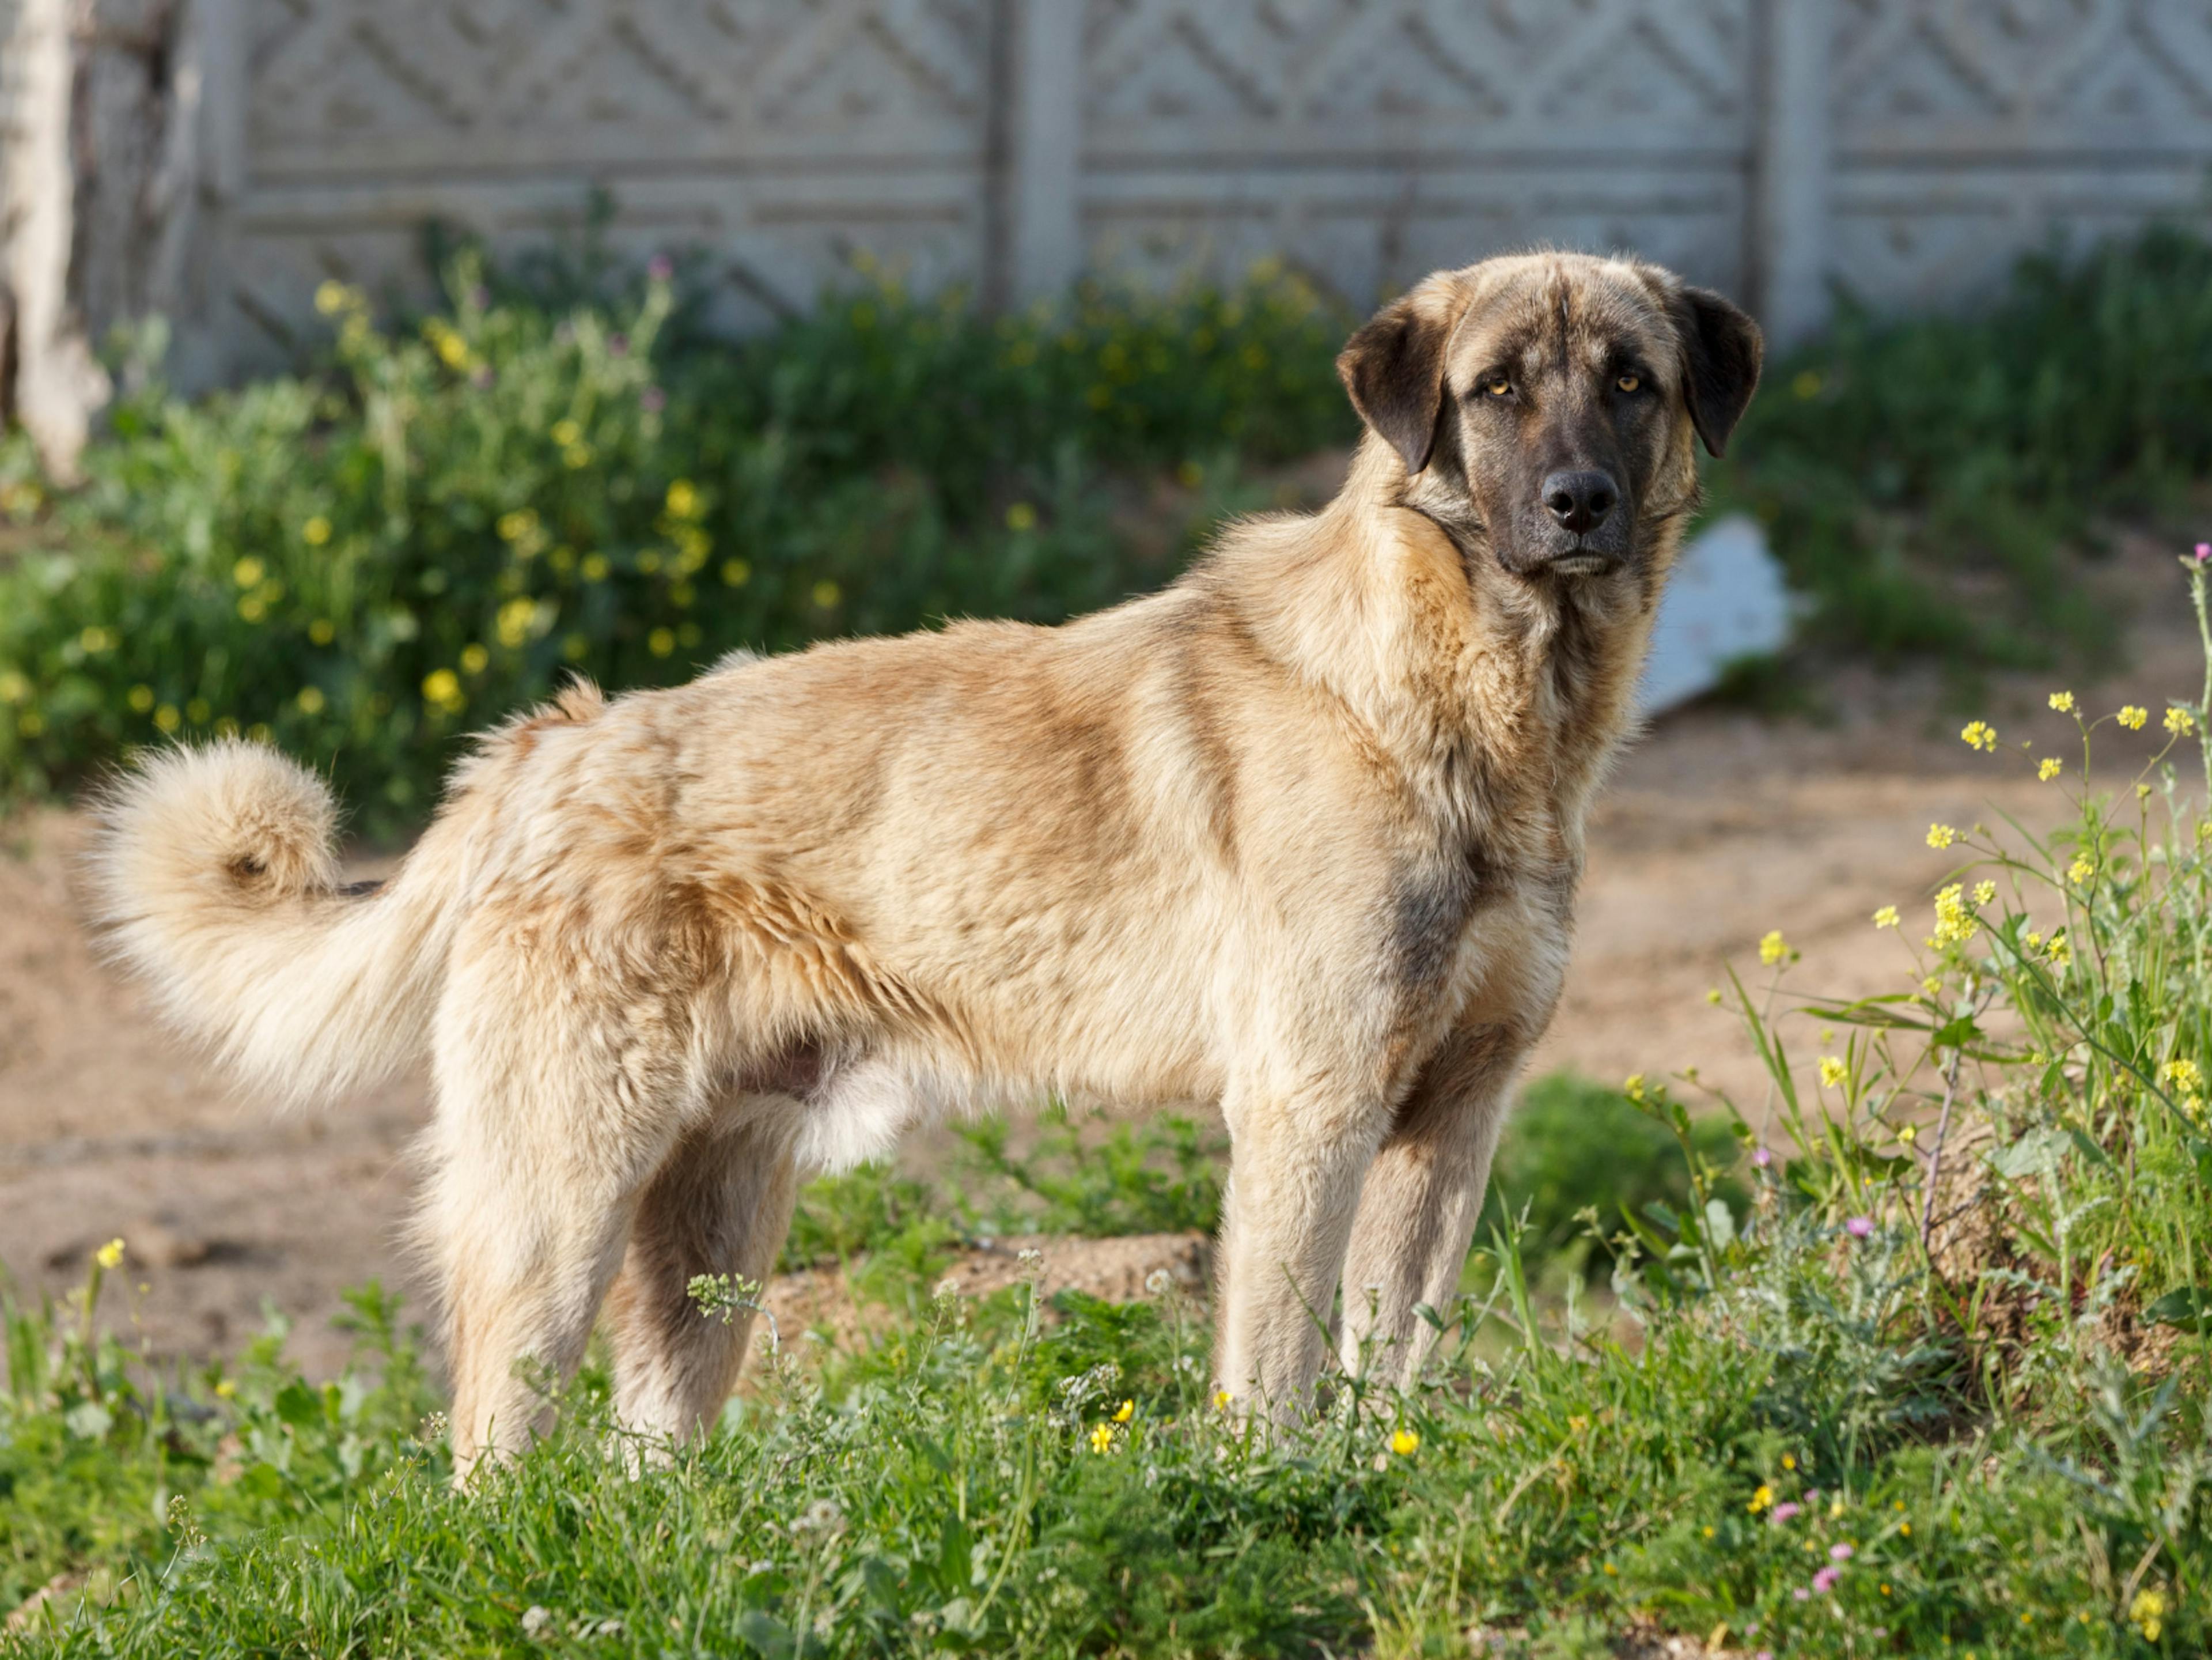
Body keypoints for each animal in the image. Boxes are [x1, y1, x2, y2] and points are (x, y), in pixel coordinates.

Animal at [95, 253, 1760, 1479]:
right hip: (556, 1199)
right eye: (1495, 391)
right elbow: (1280, 1366)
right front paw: (1281, 1501)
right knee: (488, 1448)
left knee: (646, 1454)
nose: (1578, 507)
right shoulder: (1312, 1108)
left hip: (713, 1234)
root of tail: (548, 744)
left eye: (1630, 382)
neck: (1456, 701)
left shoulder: (1452, 1122)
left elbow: (1394, 1357)